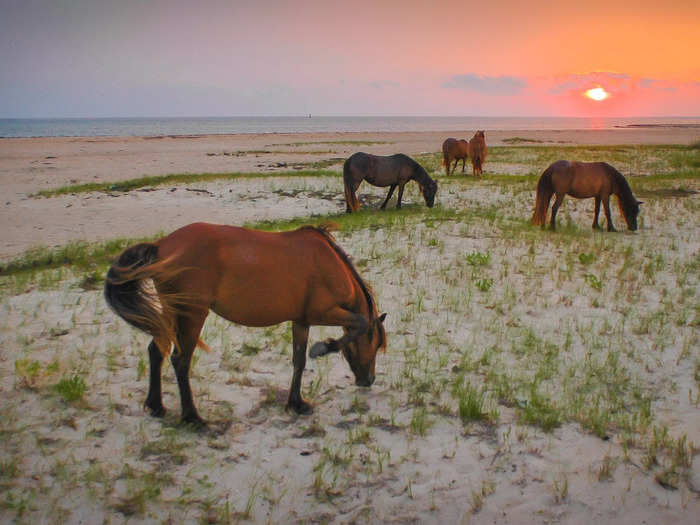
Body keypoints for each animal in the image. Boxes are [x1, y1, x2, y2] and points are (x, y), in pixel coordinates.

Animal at [105, 222, 388, 426]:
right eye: (375, 346)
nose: (369, 380)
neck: (328, 264)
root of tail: (161, 245)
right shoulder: (323, 312)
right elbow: (360, 323)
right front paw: (324, 347)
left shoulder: (301, 320)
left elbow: (298, 361)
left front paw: (296, 403)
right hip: (192, 315)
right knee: (180, 361)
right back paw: (192, 417)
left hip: (172, 313)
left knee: (157, 352)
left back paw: (156, 406)